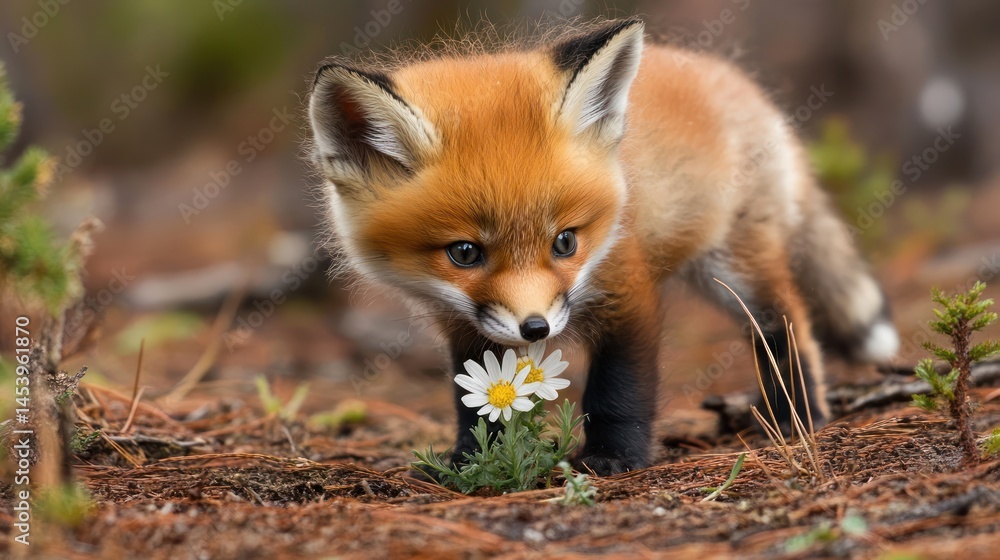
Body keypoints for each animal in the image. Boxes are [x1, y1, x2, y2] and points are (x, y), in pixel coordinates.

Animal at [306, 18, 900, 475]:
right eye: (465, 253)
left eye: (566, 242)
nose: (536, 329)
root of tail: (738, 82)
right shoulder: (465, 326)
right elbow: (477, 399)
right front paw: (476, 458)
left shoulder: (626, 289)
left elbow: (618, 390)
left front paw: (613, 458)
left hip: (734, 265)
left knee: (786, 320)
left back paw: (797, 413)